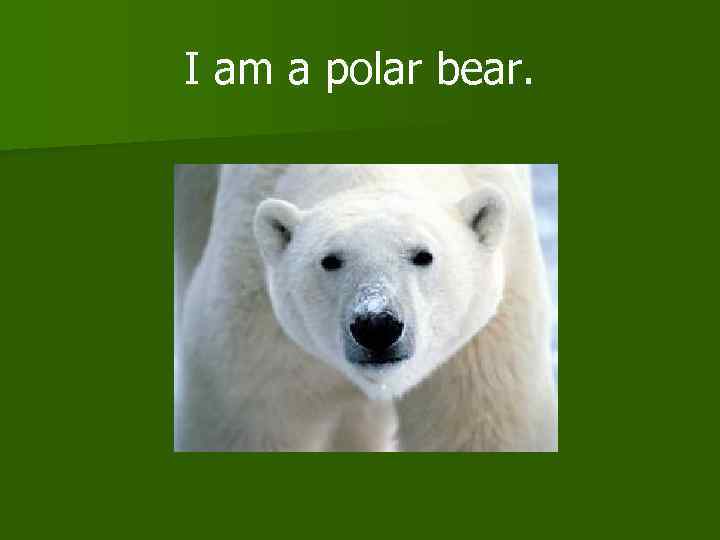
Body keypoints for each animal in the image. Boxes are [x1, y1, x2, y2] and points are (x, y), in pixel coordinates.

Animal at [174, 164, 557, 451]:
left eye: (423, 255)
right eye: (330, 260)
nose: (377, 326)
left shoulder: (483, 343)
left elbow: (474, 428)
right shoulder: (255, 327)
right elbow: (249, 422)